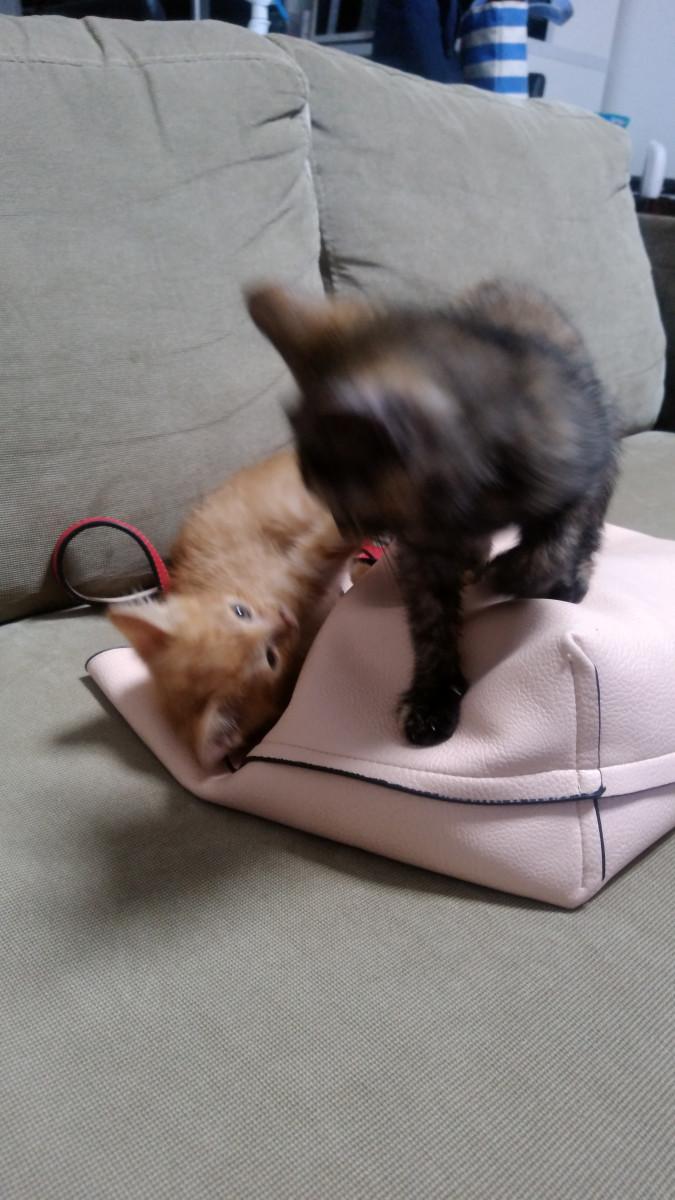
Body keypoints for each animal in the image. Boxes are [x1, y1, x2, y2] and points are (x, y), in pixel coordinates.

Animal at [246, 279, 620, 748]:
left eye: (344, 502)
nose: (345, 527)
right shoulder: (423, 551)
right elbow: (430, 622)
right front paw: (432, 697)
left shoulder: (579, 472)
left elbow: (552, 547)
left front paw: (513, 575)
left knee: (585, 535)